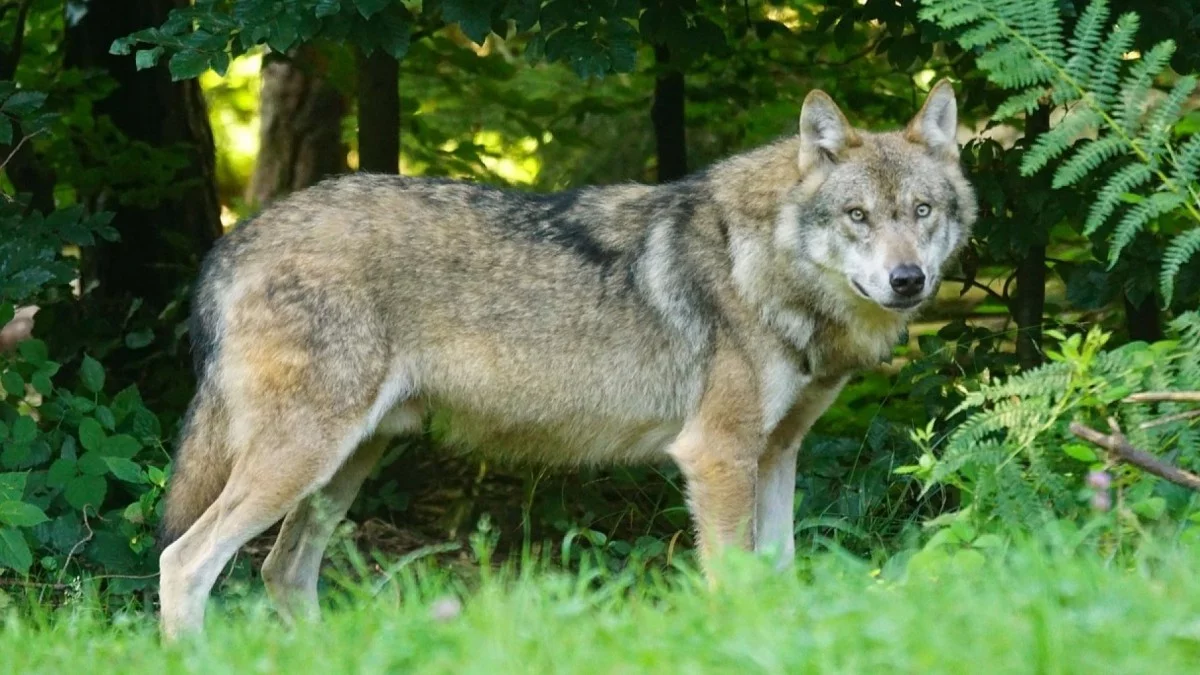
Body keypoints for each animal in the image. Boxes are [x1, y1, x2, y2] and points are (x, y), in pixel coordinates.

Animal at [157, 79, 974, 634]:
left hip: (343, 467)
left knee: (282, 571)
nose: (908, 280)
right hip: (302, 460)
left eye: (921, 212)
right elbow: (733, 583)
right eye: (857, 216)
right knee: (184, 562)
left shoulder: (776, 454)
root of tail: (233, 240)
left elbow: (780, 575)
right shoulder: (717, 456)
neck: (762, 264)